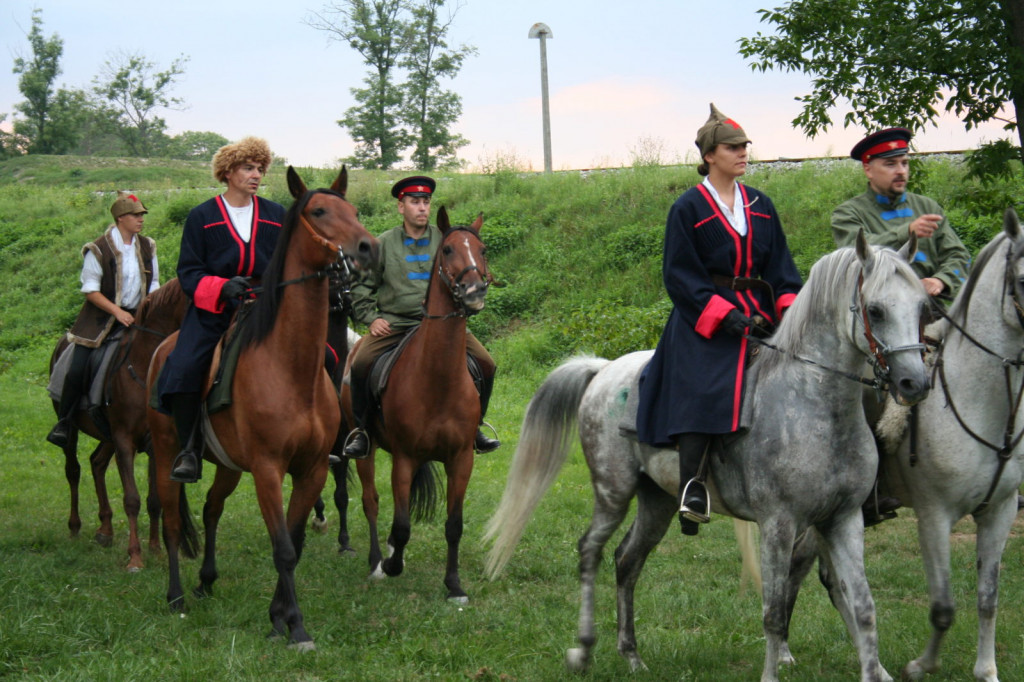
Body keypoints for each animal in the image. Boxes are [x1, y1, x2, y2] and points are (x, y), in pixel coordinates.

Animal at [47, 276, 187, 569]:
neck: (144, 364)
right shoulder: (124, 440)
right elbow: (132, 499)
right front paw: (135, 557)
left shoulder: (153, 443)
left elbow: (154, 500)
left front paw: (156, 550)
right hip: (72, 427)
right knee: (73, 470)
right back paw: (75, 527)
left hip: (106, 435)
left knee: (97, 463)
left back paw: (105, 530)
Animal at [146, 165, 378, 647]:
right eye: (319, 211)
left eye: (353, 210)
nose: (369, 248)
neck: (291, 369)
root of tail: (163, 348)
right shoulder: (269, 470)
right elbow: (284, 548)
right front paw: (295, 626)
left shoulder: (311, 469)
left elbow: (295, 542)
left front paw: (278, 617)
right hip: (165, 453)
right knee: (173, 520)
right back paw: (176, 595)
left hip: (229, 467)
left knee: (211, 509)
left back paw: (206, 580)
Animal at [350, 206, 489, 602]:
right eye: (448, 250)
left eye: (482, 249)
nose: (475, 291)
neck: (437, 381)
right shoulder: (404, 457)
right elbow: (401, 524)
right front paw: (392, 564)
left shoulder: (461, 459)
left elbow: (454, 525)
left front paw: (454, 585)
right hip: (366, 452)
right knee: (371, 501)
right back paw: (377, 561)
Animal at [483, 232, 933, 679]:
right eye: (875, 310)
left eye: (921, 307)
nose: (915, 383)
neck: (813, 403)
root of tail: (604, 369)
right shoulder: (779, 524)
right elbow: (773, 612)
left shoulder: (843, 519)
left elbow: (862, 605)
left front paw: (875, 671)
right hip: (613, 492)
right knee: (589, 551)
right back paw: (584, 649)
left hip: (658, 501)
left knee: (627, 560)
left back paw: (631, 654)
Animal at [774, 206, 1024, 679]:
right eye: (1022, 277)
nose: (914, 386)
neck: (979, 401)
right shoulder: (934, 515)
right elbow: (943, 607)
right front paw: (920, 664)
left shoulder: (998, 512)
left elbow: (988, 598)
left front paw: (986, 670)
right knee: (800, 568)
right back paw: (782, 651)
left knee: (830, 580)